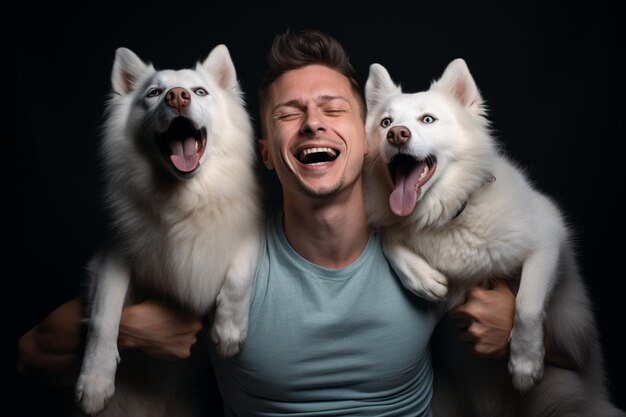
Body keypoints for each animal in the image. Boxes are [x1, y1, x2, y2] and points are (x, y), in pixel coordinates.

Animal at [73, 45, 260, 416]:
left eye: (200, 91)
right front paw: (95, 382)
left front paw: (229, 330)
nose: (177, 97)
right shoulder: (111, 256)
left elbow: (239, 273)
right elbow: (104, 315)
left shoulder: (254, 229)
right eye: (154, 93)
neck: (183, 198)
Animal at [364, 58, 620, 416]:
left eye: (427, 119)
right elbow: (388, 234)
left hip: (562, 391)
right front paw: (423, 279)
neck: (451, 213)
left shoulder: (548, 239)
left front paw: (525, 364)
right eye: (385, 122)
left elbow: (527, 303)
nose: (396, 134)